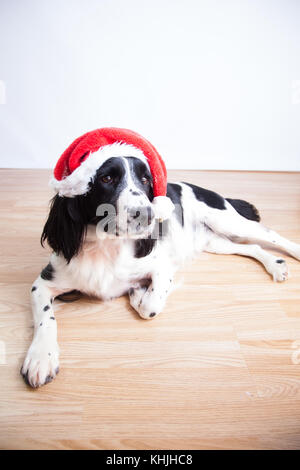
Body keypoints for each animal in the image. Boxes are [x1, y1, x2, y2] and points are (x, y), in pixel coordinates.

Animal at [20, 127, 300, 386]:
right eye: (107, 178)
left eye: (146, 180)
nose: (146, 214)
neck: (107, 246)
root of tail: (209, 190)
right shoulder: (44, 282)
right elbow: (46, 317)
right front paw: (41, 358)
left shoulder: (161, 268)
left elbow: (151, 305)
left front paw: (137, 294)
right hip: (214, 241)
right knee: (252, 248)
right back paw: (275, 264)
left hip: (227, 221)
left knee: (270, 235)